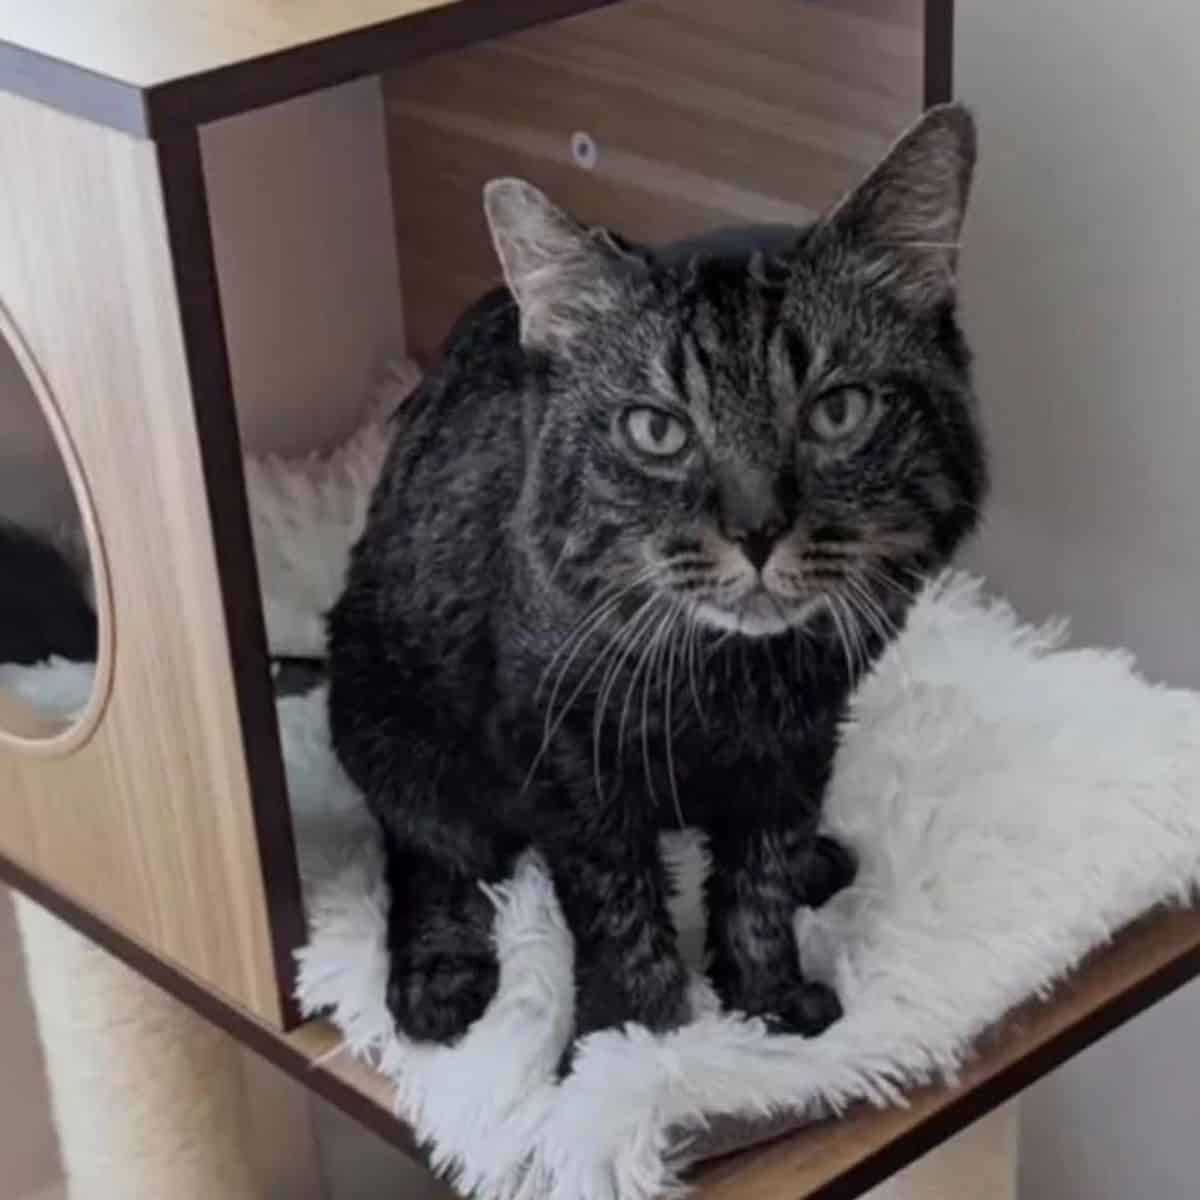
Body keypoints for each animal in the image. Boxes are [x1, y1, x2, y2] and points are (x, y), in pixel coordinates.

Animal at [326, 103, 984, 1051]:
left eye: (837, 411)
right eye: (656, 430)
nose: (757, 530)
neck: (728, 677)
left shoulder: (804, 732)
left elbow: (758, 874)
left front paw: (766, 1000)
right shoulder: (566, 751)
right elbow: (616, 904)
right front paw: (633, 1043)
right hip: (382, 709)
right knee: (431, 851)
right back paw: (439, 972)